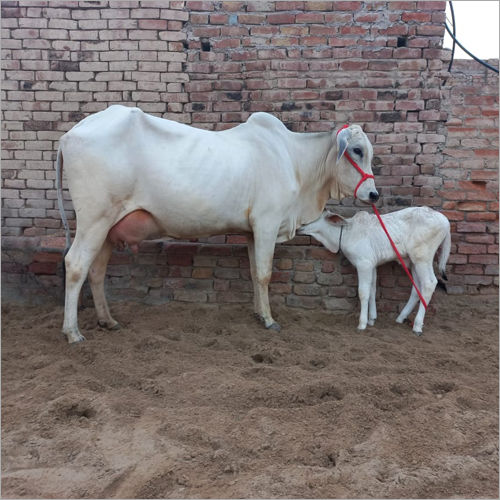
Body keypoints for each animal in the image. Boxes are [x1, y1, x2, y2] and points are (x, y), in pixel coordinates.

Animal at [56, 105, 376, 342]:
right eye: (357, 150)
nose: (374, 194)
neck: (295, 162)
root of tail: (70, 134)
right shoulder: (267, 223)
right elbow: (264, 274)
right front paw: (270, 320)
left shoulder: (251, 231)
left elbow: (253, 272)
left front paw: (259, 313)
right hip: (94, 220)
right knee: (75, 265)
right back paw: (73, 332)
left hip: (108, 228)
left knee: (96, 271)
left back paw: (107, 320)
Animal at [298, 207, 452, 336]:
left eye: (315, 215)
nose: (299, 226)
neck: (347, 232)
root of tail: (445, 220)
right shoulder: (371, 265)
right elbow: (372, 289)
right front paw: (372, 319)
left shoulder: (364, 264)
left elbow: (363, 292)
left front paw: (362, 323)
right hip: (413, 262)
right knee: (417, 288)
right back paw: (401, 317)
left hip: (422, 258)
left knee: (429, 283)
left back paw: (417, 326)